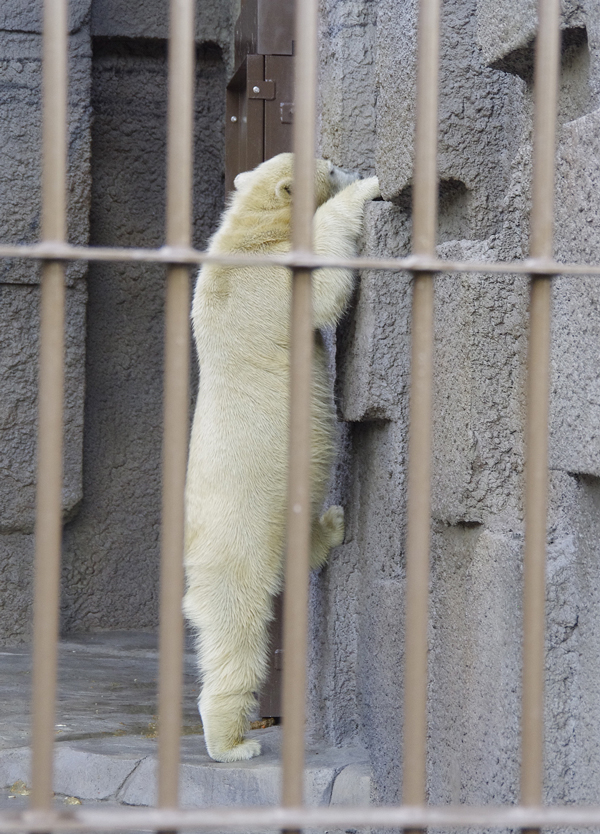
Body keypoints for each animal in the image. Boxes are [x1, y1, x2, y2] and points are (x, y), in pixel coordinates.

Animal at [184, 151, 380, 760]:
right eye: (331, 165)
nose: (350, 164)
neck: (248, 233)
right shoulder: (274, 279)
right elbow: (326, 286)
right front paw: (366, 191)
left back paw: (334, 521)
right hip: (238, 543)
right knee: (237, 628)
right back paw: (232, 743)